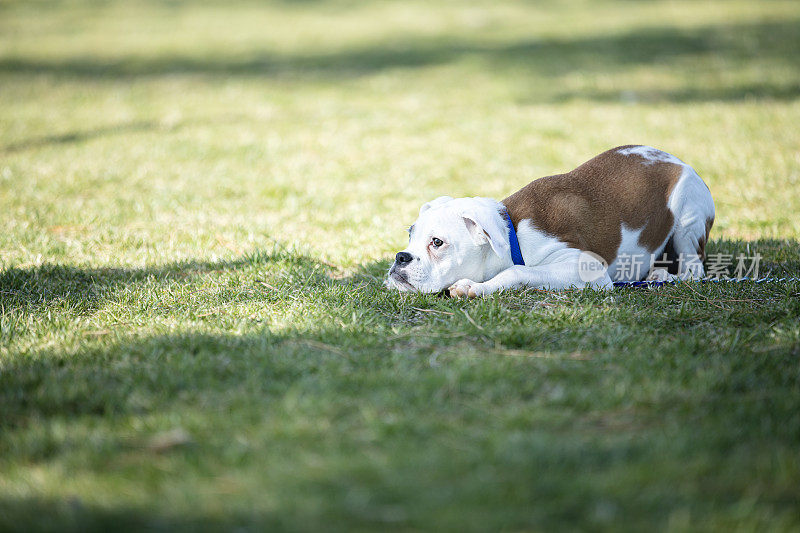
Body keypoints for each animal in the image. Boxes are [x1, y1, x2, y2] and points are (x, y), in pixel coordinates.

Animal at [384, 144, 716, 296]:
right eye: (410, 235)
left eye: (437, 242)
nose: (401, 257)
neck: (513, 236)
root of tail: (676, 160)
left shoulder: (587, 269)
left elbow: (518, 272)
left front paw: (473, 287)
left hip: (688, 216)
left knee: (695, 270)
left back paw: (667, 276)